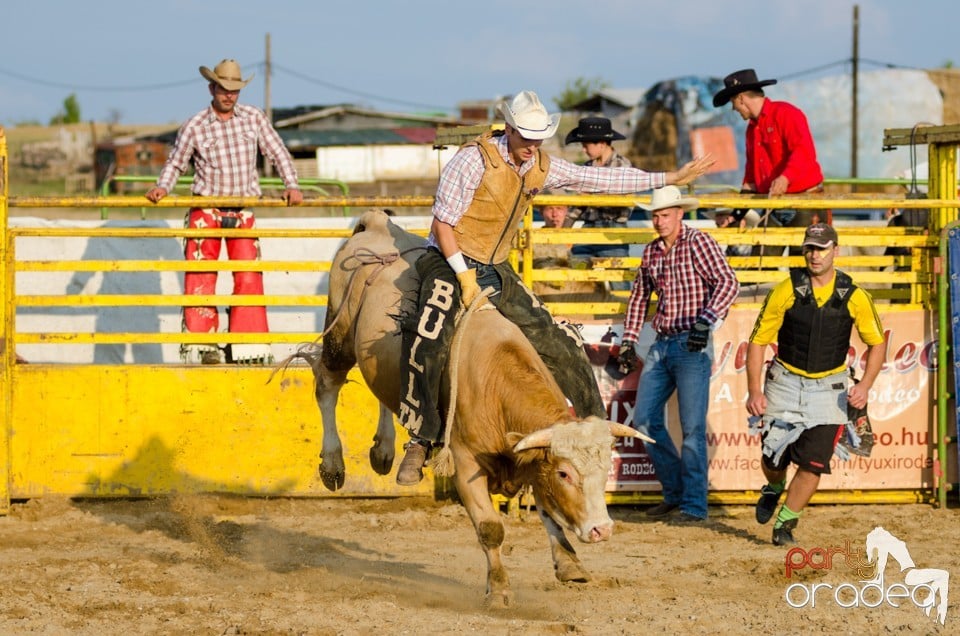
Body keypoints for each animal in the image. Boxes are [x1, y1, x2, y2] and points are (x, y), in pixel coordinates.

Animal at [294, 210, 652, 608]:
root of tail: (374, 224)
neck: (495, 382)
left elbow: (549, 512)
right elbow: (491, 528)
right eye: (564, 474)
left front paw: (569, 563)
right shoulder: (466, 464)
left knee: (388, 393)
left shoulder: (529, 459)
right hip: (339, 335)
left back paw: (383, 451)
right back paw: (334, 464)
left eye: (605, 469)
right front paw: (498, 589)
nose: (602, 529)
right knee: (328, 385)